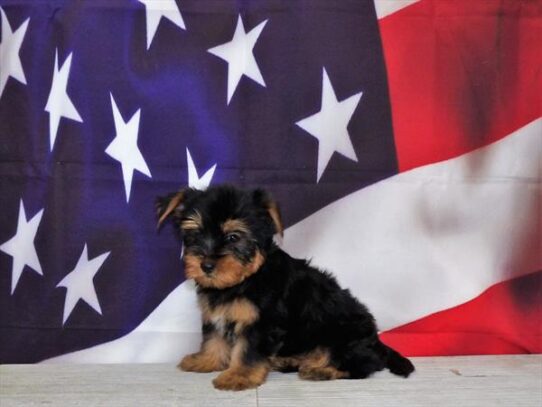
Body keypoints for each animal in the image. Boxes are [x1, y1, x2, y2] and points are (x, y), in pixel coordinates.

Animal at [157, 186, 416, 392]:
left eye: (233, 237)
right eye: (195, 233)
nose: (206, 265)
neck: (246, 278)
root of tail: (376, 342)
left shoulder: (261, 323)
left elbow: (248, 351)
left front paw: (239, 375)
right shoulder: (215, 314)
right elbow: (214, 338)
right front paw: (206, 360)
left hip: (345, 334)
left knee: (360, 365)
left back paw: (322, 370)